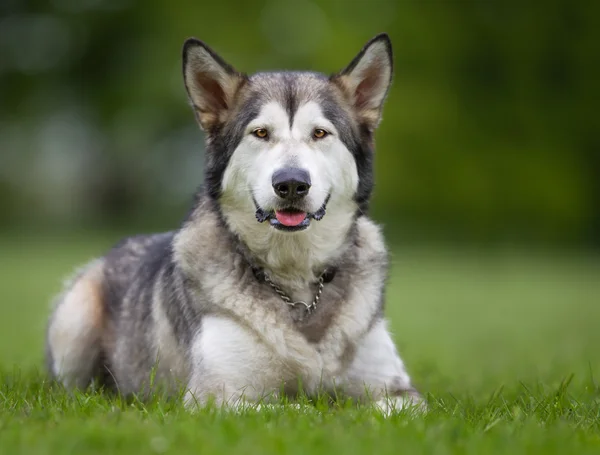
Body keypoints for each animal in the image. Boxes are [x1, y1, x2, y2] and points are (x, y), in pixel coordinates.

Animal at [45, 33, 426, 414]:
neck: (295, 280)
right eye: (260, 133)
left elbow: (375, 405)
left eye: (320, 133)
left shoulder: (400, 391)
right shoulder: (215, 396)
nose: (291, 183)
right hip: (75, 321)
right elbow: (305, 408)